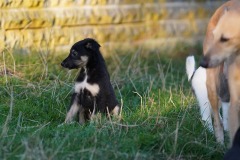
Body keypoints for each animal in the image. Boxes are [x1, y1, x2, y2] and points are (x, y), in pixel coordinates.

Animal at [200, 0, 240, 144]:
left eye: (225, 39)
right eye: (216, 36)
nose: (202, 63)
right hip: (212, 85)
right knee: (217, 120)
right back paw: (219, 143)